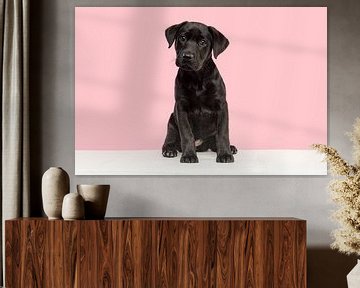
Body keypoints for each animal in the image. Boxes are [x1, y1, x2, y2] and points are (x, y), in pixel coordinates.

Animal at [162, 21, 236, 163]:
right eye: (182, 38)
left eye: (202, 42)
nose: (187, 56)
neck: (197, 78)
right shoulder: (181, 108)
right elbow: (187, 134)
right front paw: (189, 155)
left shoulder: (222, 106)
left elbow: (223, 133)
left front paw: (225, 154)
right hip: (172, 122)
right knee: (170, 138)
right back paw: (169, 150)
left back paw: (230, 148)